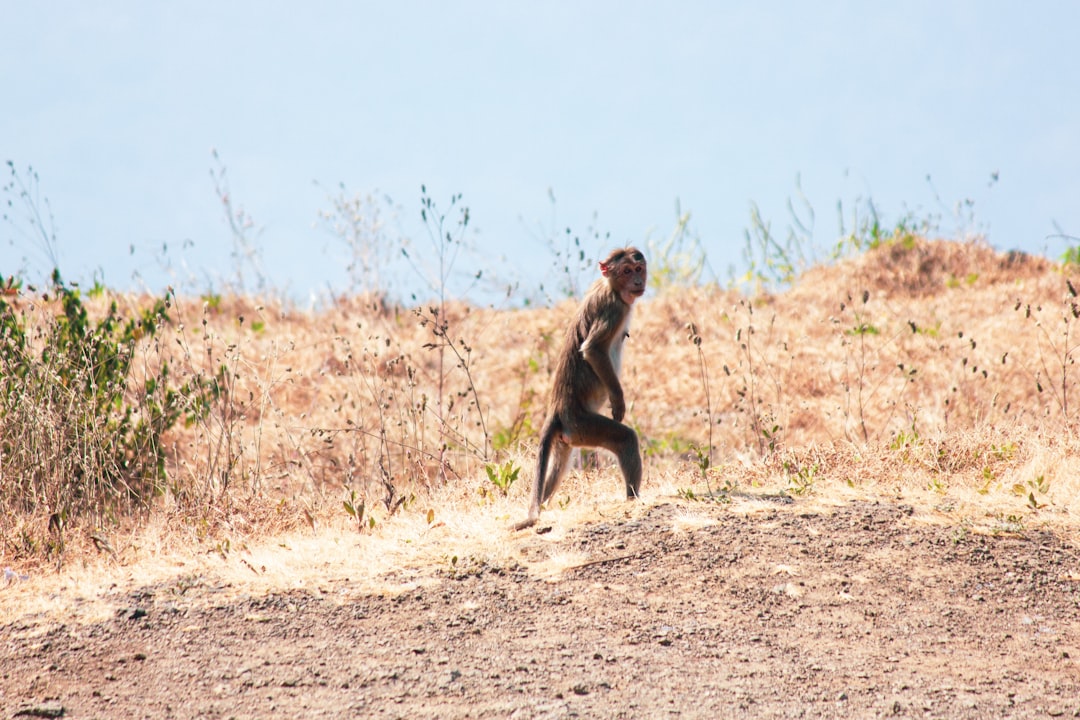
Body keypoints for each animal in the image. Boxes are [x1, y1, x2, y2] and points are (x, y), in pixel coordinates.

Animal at [516, 248, 643, 528]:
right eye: (626, 271)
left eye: (638, 269)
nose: (638, 282)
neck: (611, 286)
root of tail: (556, 409)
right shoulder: (613, 309)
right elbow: (593, 349)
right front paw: (618, 400)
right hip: (582, 425)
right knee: (625, 439)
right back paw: (632, 498)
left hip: (568, 435)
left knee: (557, 467)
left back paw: (541, 503)